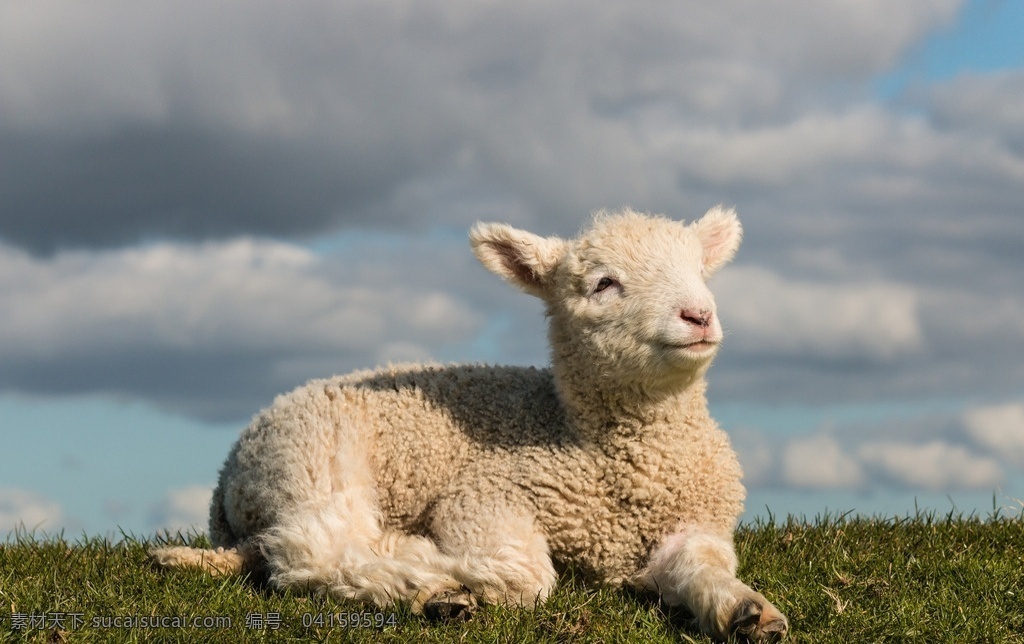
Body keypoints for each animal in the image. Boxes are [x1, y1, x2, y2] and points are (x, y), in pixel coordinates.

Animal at [153, 208, 790, 638]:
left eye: (700, 269)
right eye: (604, 283)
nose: (699, 315)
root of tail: (228, 475)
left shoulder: (696, 522)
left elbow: (705, 567)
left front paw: (748, 612)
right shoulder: (486, 494)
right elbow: (527, 576)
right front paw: (435, 561)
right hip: (313, 460)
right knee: (313, 554)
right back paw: (429, 587)